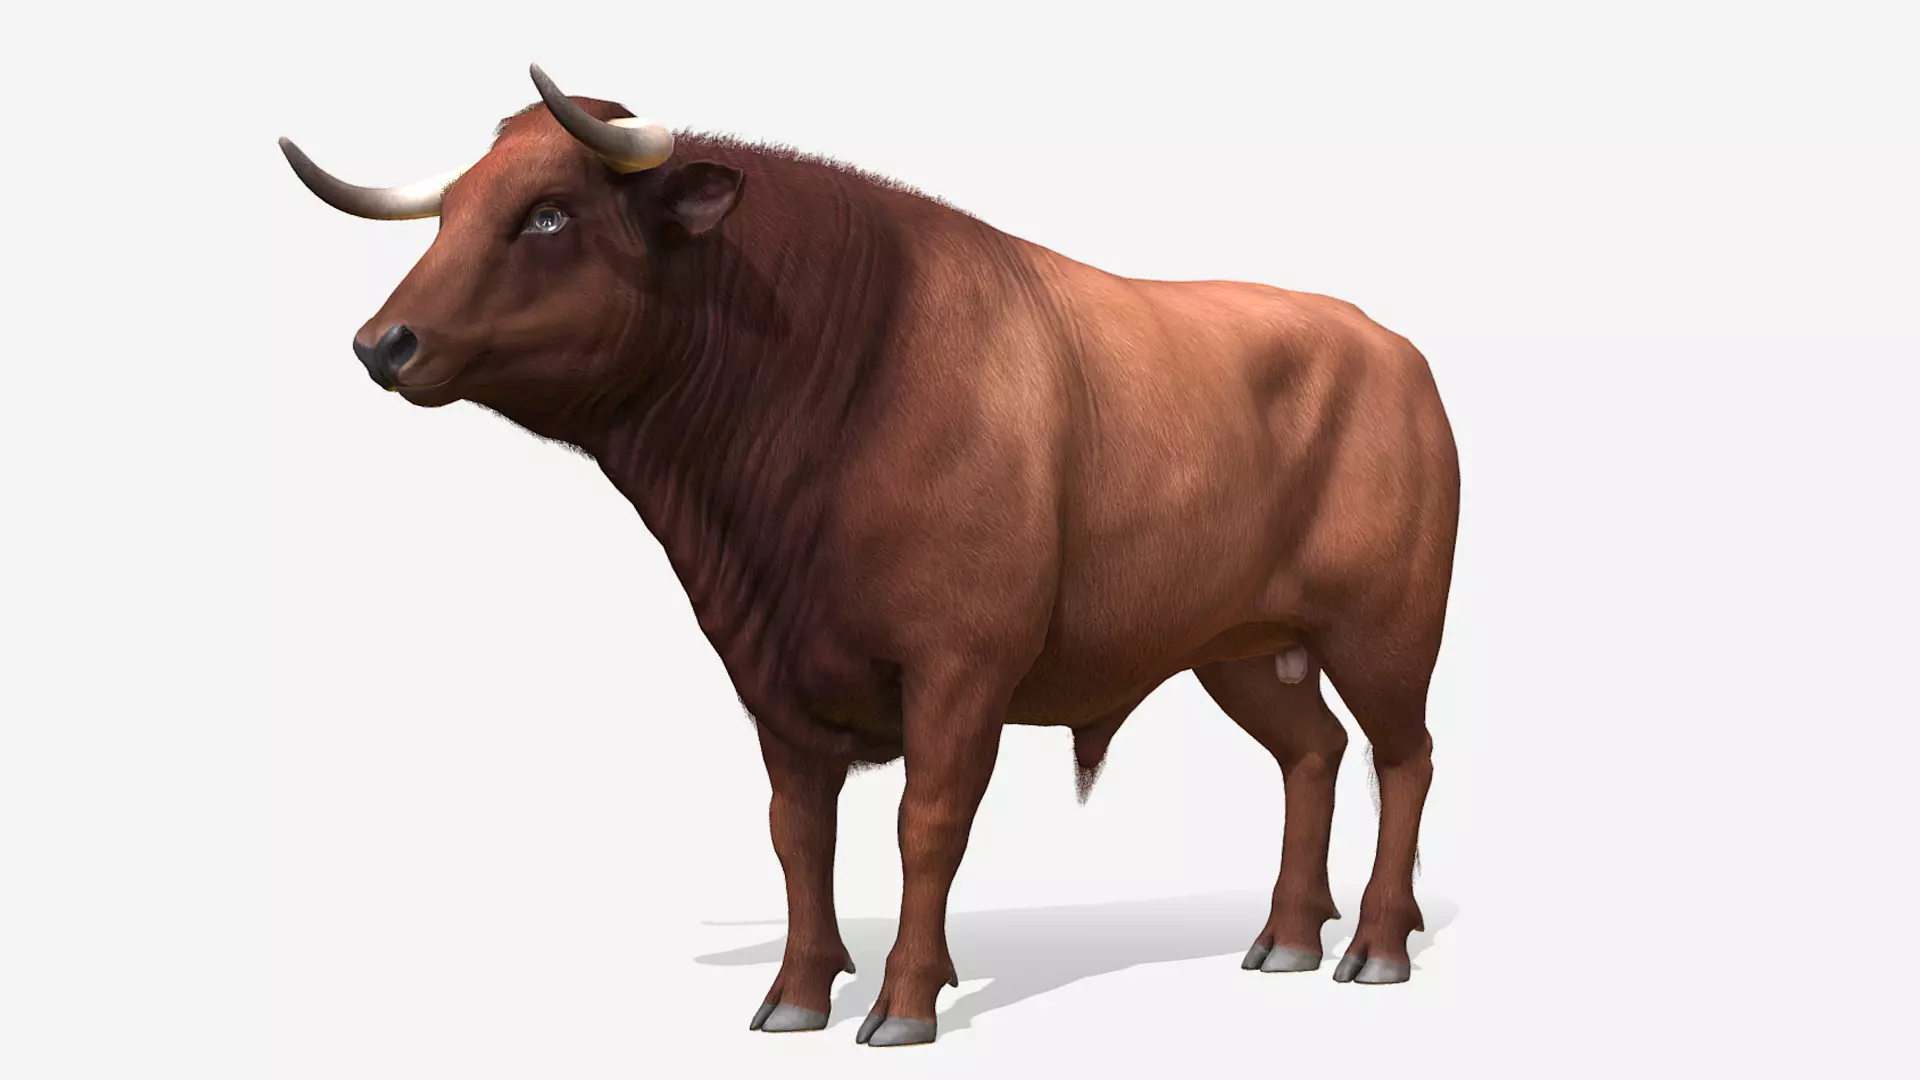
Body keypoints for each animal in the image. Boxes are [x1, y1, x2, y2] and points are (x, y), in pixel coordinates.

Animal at [279, 64, 1461, 1047]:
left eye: (549, 213)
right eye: (454, 212)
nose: (382, 344)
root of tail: (1386, 344)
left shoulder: (960, 670)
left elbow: (924, 827)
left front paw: (903, 1003)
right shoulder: (769, 675)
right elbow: (798, 833)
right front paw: (796, 996)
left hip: (1385, 631)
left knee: (1404, 759)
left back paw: (1375, 947)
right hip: (1243, 646)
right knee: (1312, 753)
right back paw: (1289, 936)